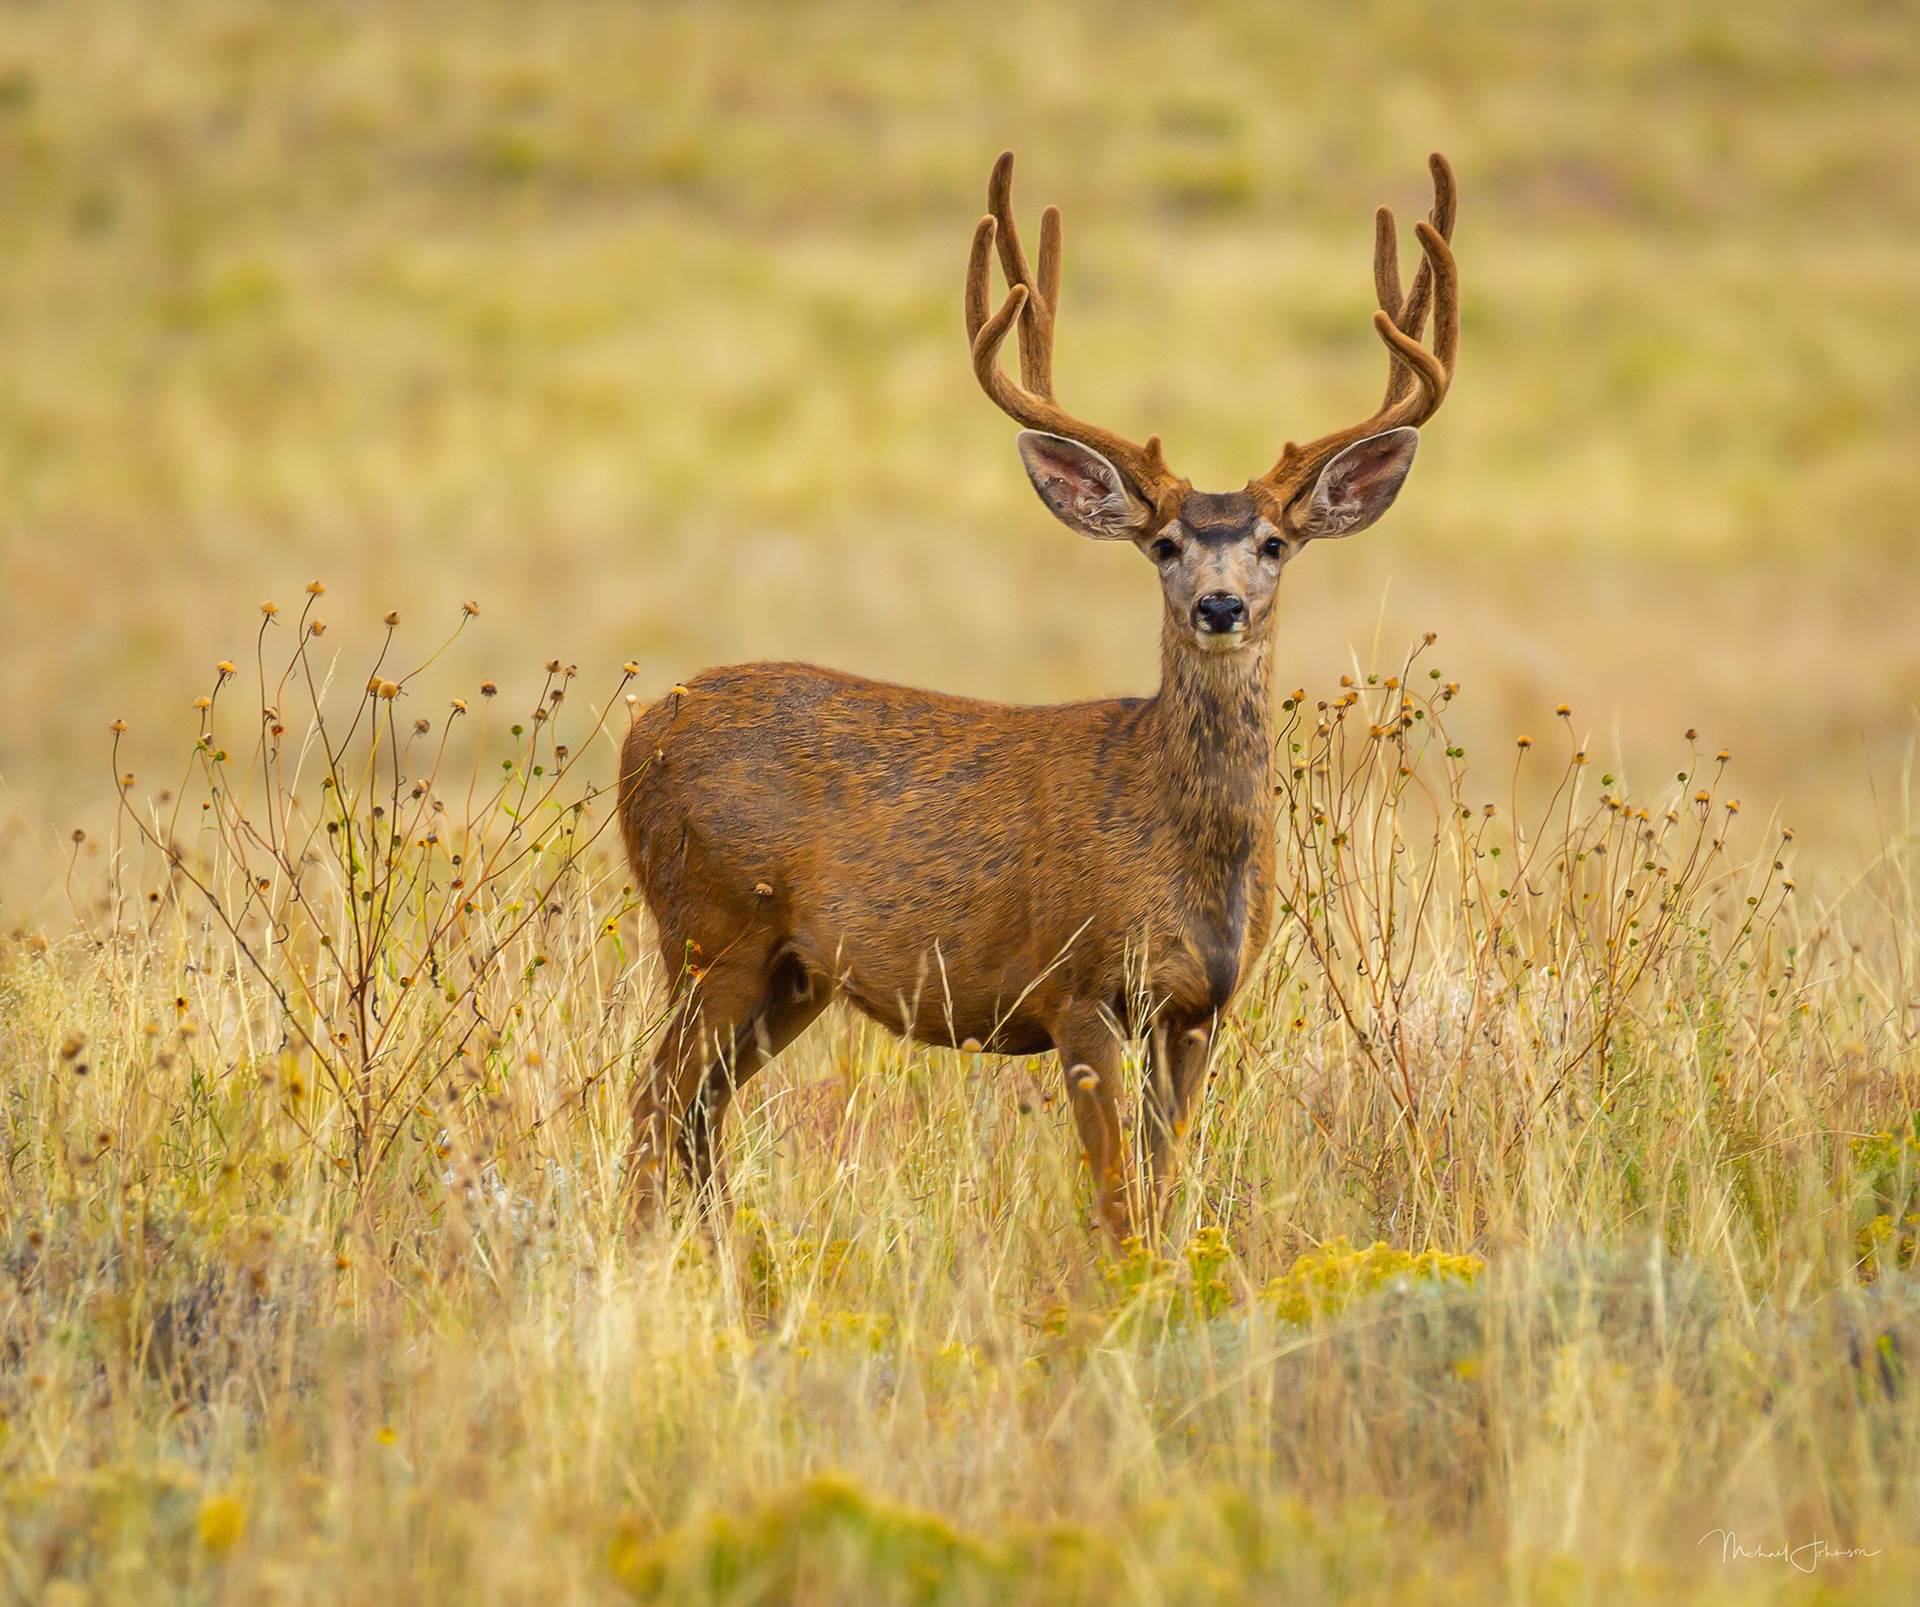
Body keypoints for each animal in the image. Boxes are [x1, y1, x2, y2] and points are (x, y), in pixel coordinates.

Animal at [619, 149, 1458, 1242]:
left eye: (1274, 542)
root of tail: (637, 733)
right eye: (1165, 544)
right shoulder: (1079, 983)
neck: (1183, 853)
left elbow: (1165, 1184)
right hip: (711, 925)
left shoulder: (1200, 1006)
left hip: (791, 969)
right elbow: (1116, 1197)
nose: (1220, 603)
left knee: (695, 1114)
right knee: (653, 1106)